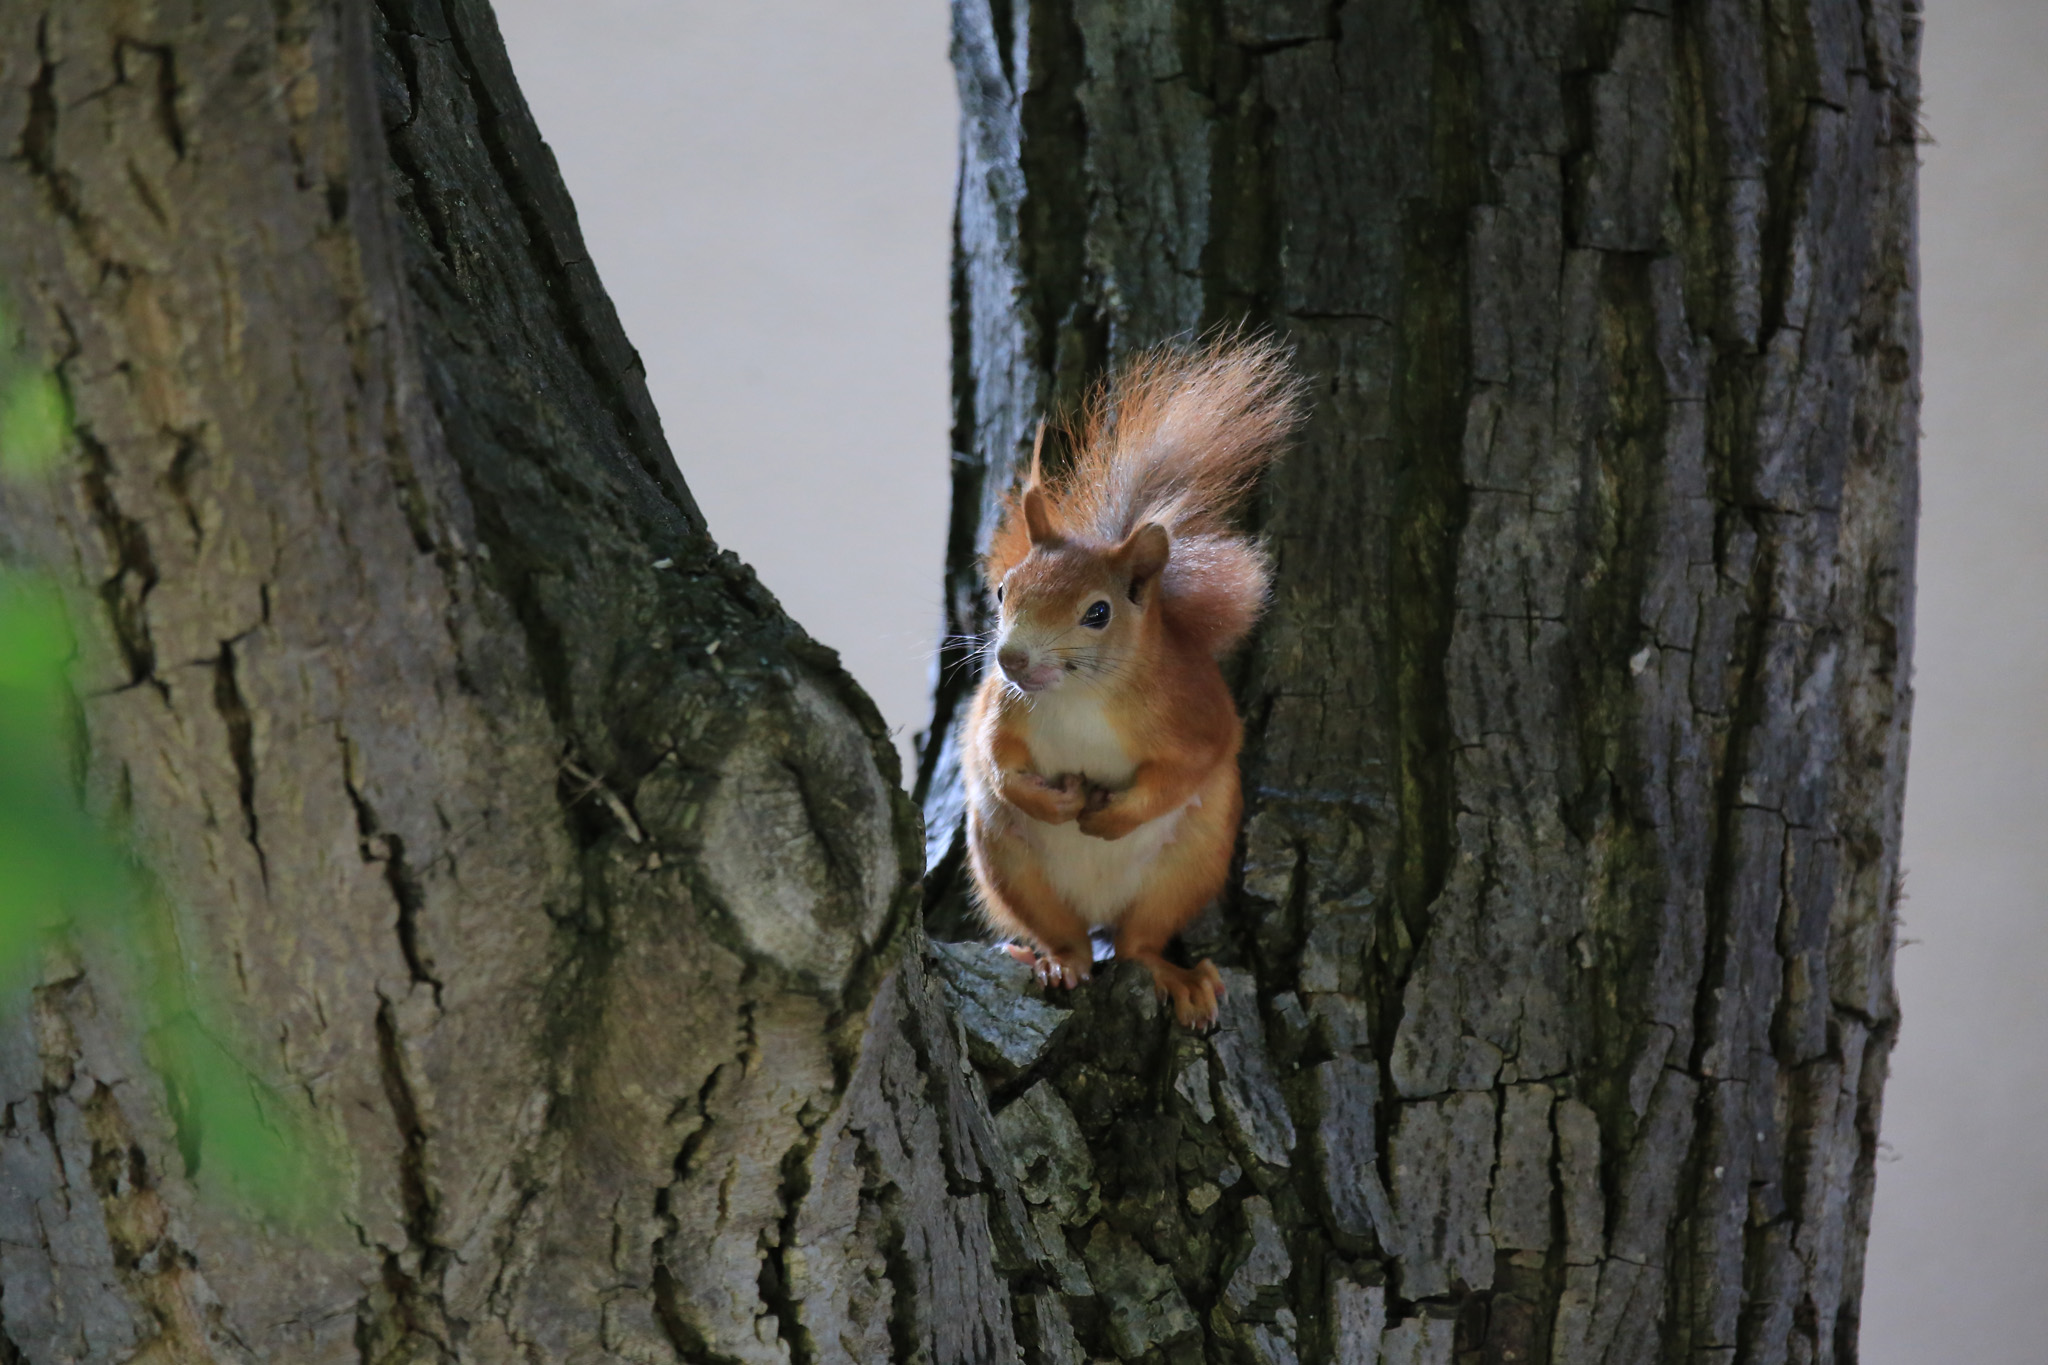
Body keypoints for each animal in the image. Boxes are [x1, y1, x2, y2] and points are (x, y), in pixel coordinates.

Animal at [960, 337, 1305, 1028]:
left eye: (1098, 613)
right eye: (1005, 590)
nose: (1012, 660)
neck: (1079, 697)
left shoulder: (1193, 715)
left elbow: (1187, 768)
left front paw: (1108, 816)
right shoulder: (1001, 709)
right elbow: (995, 761)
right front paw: (1056, 801)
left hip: (1188, 867)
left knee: (1137, 944)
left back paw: (1177, 978)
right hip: (1006, 860)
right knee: (1068, 938)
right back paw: (1056, 962)